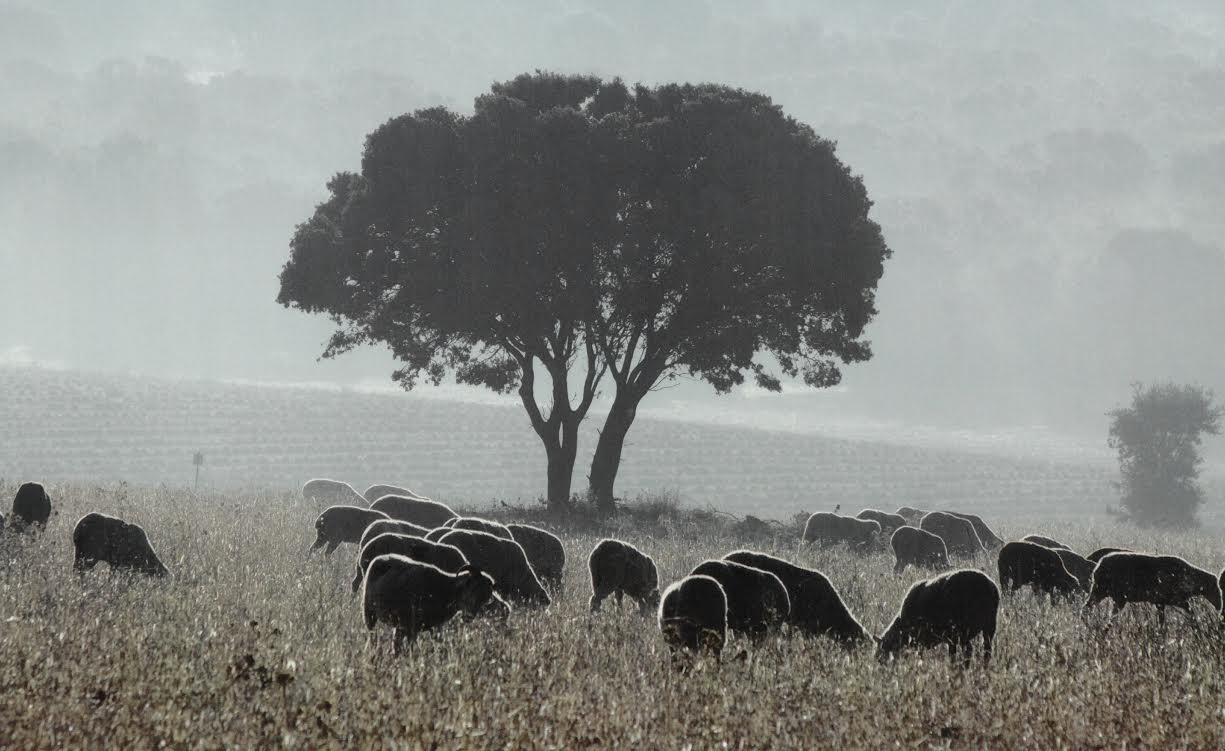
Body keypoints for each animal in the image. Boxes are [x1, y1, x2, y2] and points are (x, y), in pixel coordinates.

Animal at [360, 553, 504, 651]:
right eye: (471, 588)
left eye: (485, 597)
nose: (469, 616)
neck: (445, 589)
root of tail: (379, 558)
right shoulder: (412, 627)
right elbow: (412, 648)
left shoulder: (435, 627)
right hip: (369, 613)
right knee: (373, 636)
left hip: (398, 624)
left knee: (396, 645)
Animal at [1087, 548, 1220, 624]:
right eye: (1216, 589)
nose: (1220, 606)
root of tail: (1098, 566)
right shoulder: (1176, 600)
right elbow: (1191, 613)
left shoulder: (1162, 603)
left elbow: (1162, 621)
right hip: (1108, 594)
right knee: (1090, 608)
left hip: (1107, 594)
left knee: (1089, 607)